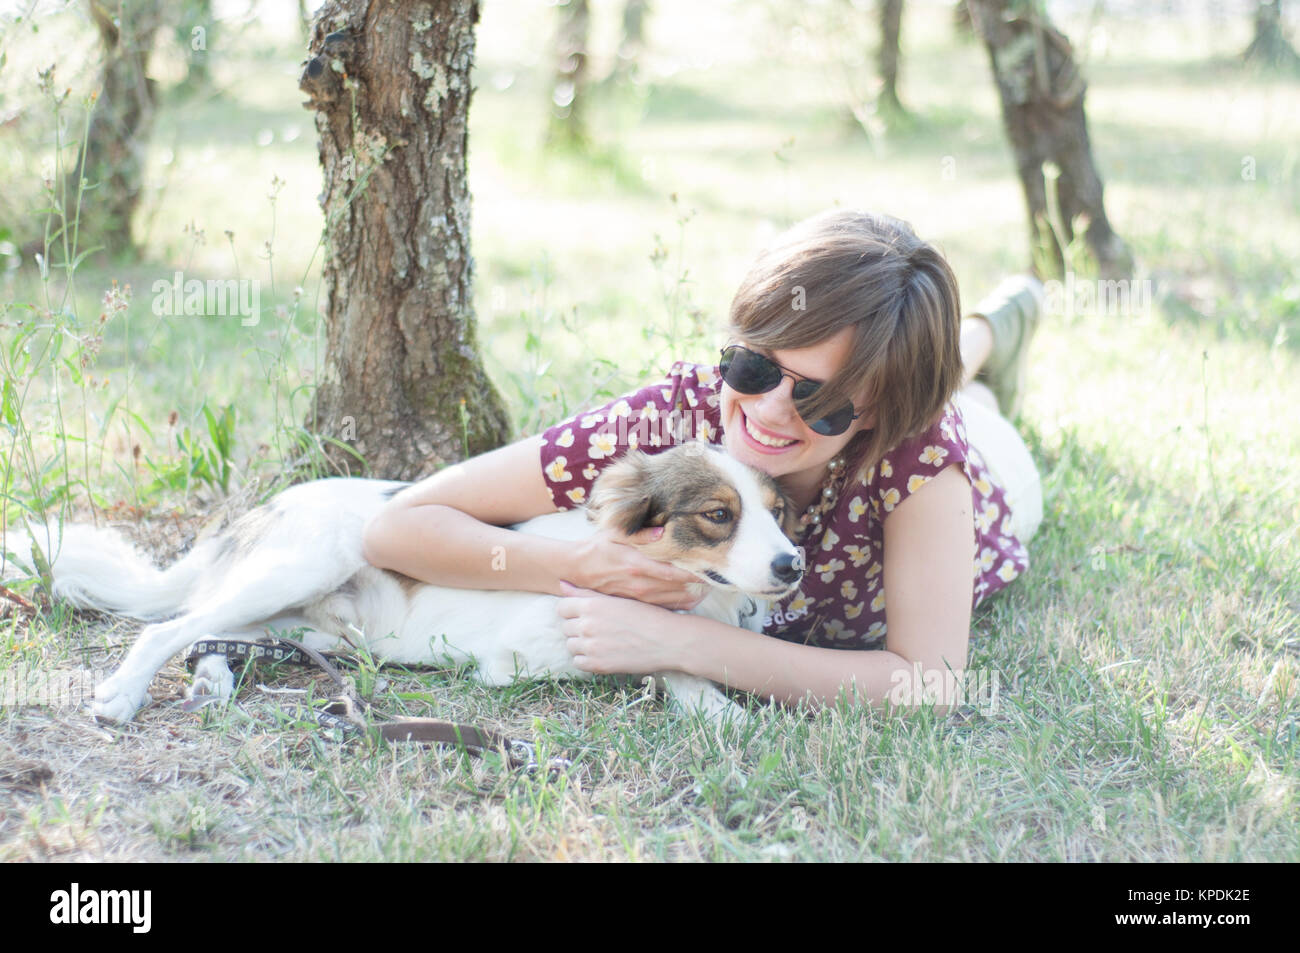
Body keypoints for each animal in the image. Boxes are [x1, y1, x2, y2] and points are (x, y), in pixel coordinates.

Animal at [2, 442, 800, 722]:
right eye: (718, 514)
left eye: (779, 511)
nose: (792, 565)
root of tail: (260, 510)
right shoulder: (524, 650)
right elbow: (665, 654)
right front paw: (720, 710)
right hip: (303, 565)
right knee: (167, 627)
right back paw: (123, 693)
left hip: (309, 620)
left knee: (213, 632)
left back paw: (215, 680)